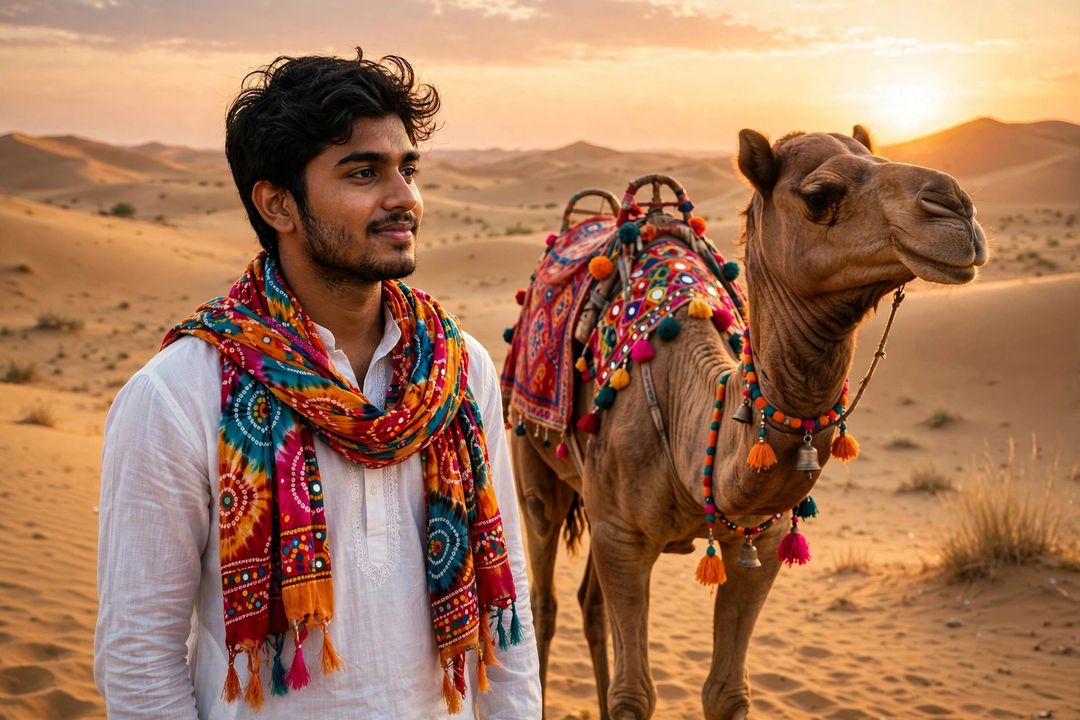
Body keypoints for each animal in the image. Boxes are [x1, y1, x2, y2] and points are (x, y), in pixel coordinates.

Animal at [507, 126, 988, 720]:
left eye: (873, 156)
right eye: (819, 196)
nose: (956, 205)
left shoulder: (759, 538)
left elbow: (726, 690)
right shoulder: (622, 536)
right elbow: (633, 694)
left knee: (589, 605)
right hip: (534, 462)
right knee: (543, 597)